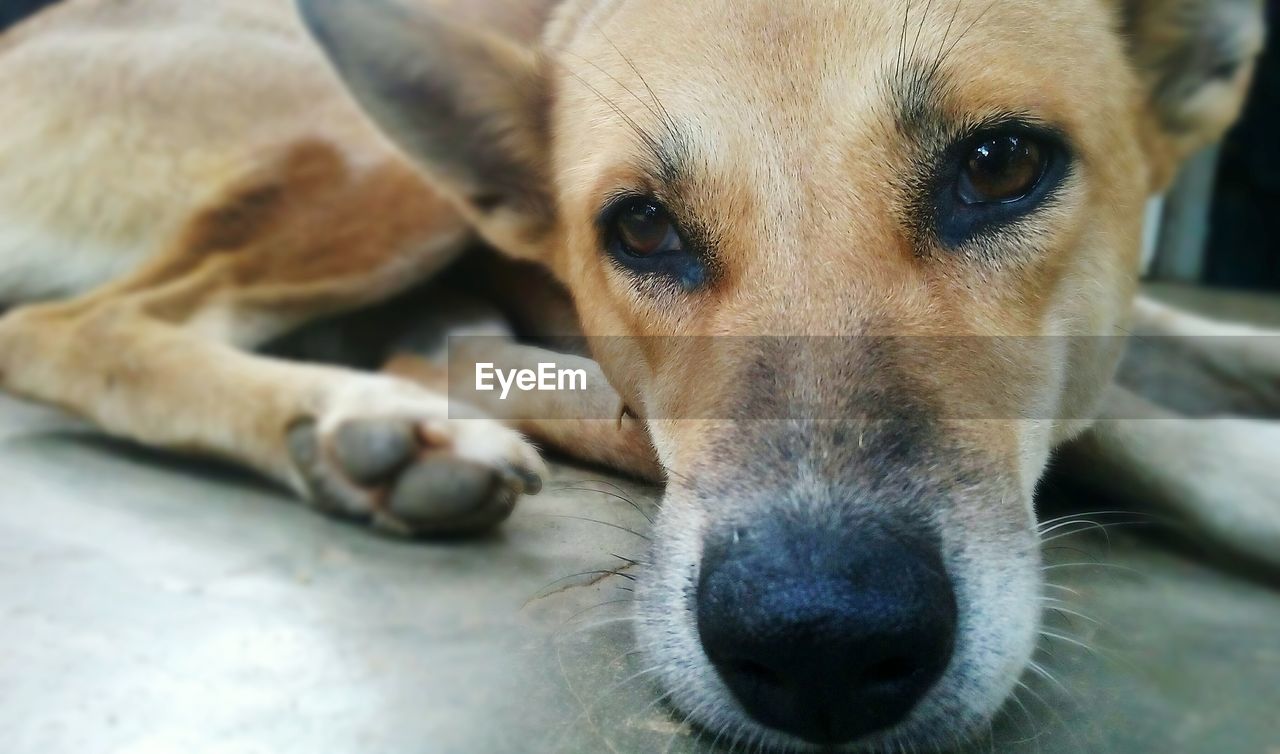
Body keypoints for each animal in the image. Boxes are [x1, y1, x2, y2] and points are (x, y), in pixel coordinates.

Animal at [0, 0, 1274, 747]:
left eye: (1001, 164)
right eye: (641, 227)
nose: (818, 643)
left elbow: (1195, 347)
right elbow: (1121, 416)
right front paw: (1243, 470)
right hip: (367, 158)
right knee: (70, 328)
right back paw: (362, 419)